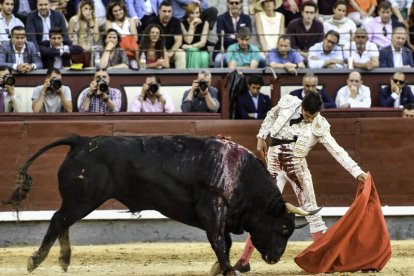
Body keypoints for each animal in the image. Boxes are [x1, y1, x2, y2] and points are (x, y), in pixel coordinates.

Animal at [4, 135, 316, 274]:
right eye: (284, 228)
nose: (275, 258)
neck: (238, 173)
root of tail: (81, 140)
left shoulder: (222, 215)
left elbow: (224, 241)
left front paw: (219, 267)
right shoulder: (213, 210)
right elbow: (219, 241)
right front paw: (227, 269)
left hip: (79, 199)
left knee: (63, 221)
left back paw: (64, 259)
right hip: (84, 198)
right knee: (59, 220)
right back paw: (36, 260)